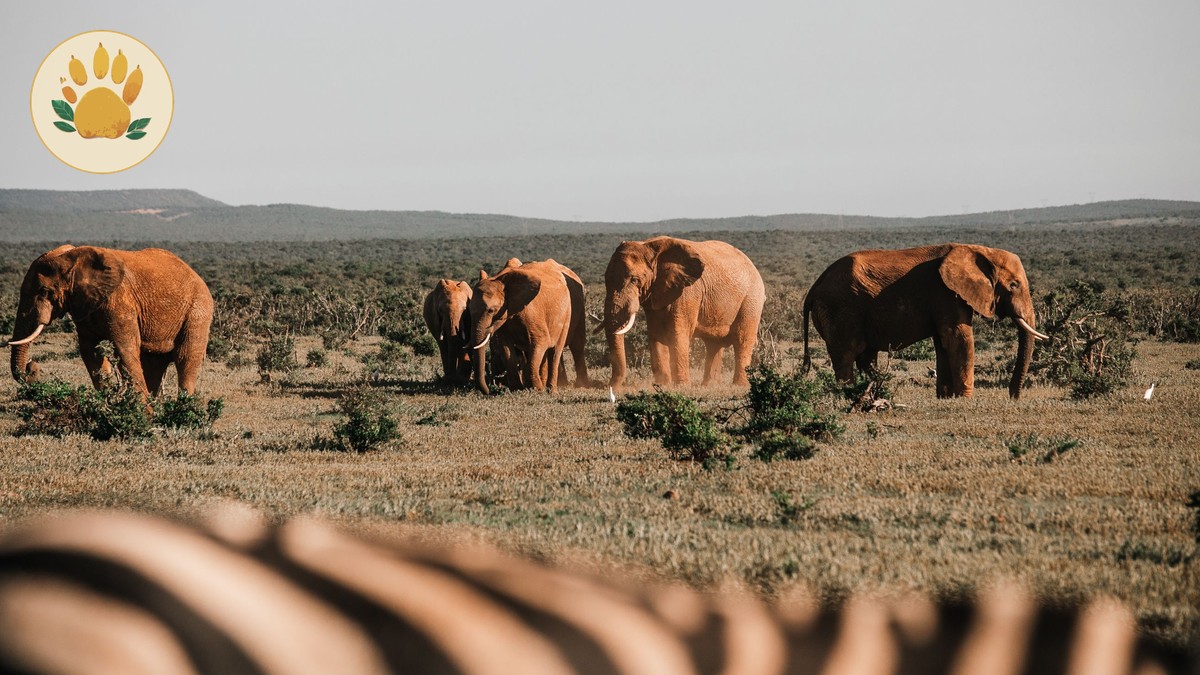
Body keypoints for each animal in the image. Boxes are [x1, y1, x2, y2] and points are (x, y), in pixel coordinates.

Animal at [7, 245, 214, 399]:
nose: (32, 366)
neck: (74, 257)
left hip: (198, 310)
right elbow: (91, 351)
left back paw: (183, 407)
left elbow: (125, 349)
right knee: (153, 363)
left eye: (44, 291)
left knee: (186, 358)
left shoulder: (120, 301)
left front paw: (142, 413)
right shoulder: (84, 305)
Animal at [469, 260, 572, 394]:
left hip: (566, 314)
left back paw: (551, 390)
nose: (489, 391)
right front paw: (518, 389)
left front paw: (537, 390)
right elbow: (506, 349)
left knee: (555, 351)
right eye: (469, 309)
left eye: (491, 310)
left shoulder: (532, 313)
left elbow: (540, 342)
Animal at [600, 236, 765, 389]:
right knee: (713, 344)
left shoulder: (687, 293)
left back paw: (740, 386)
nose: (612, 388)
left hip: (751, 299)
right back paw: (709, 386)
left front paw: (682, 387)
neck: (650, 247)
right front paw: (662, 385)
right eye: (605, 280)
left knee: (742, 340)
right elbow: (656, 334)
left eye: (635, 280)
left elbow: (677, 334)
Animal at [801, 243, 1050, 399]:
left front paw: (947, 398)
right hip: (840, 309)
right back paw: (847, 395)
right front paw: (966, 399)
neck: (978, 249)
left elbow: (943, 343)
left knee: (866, 356)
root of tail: (814, 287)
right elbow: (958, 339)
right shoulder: (946, 293)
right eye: (1014, 285)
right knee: (846, 355)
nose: (1013, 397)